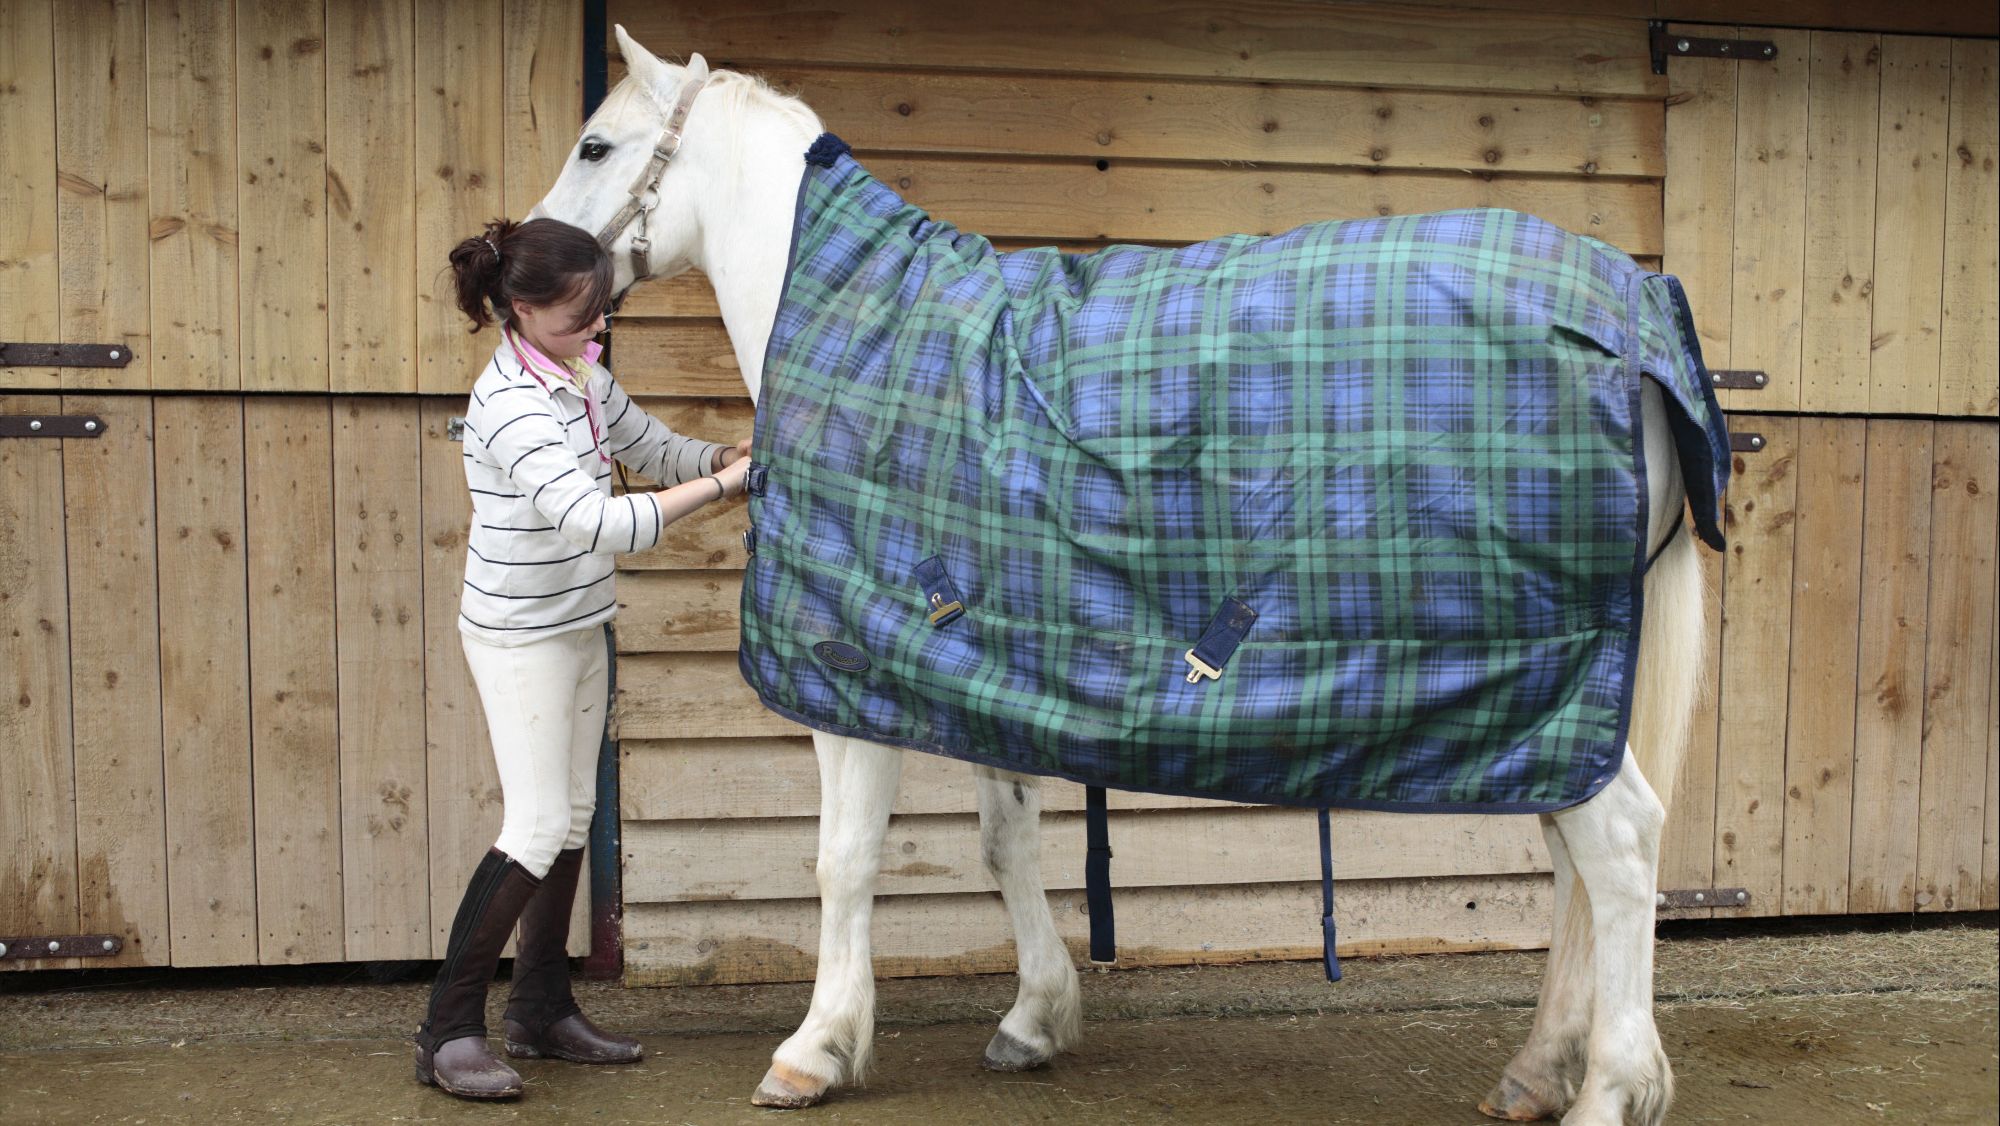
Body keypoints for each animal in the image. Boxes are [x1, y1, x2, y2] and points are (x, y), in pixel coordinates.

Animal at [530, 27, 1713, 1125]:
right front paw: (1035, 1018)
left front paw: (814, 1050)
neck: (858, 324)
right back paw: (1538, 1069)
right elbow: (1004, 838)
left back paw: (1611, 1087)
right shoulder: (980, 664)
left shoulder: (849, 668)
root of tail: (1634, 306)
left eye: (595, 145)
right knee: (1572, 856)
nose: (507, 270)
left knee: (1618, 848)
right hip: (1551, 703)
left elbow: (843, 862)